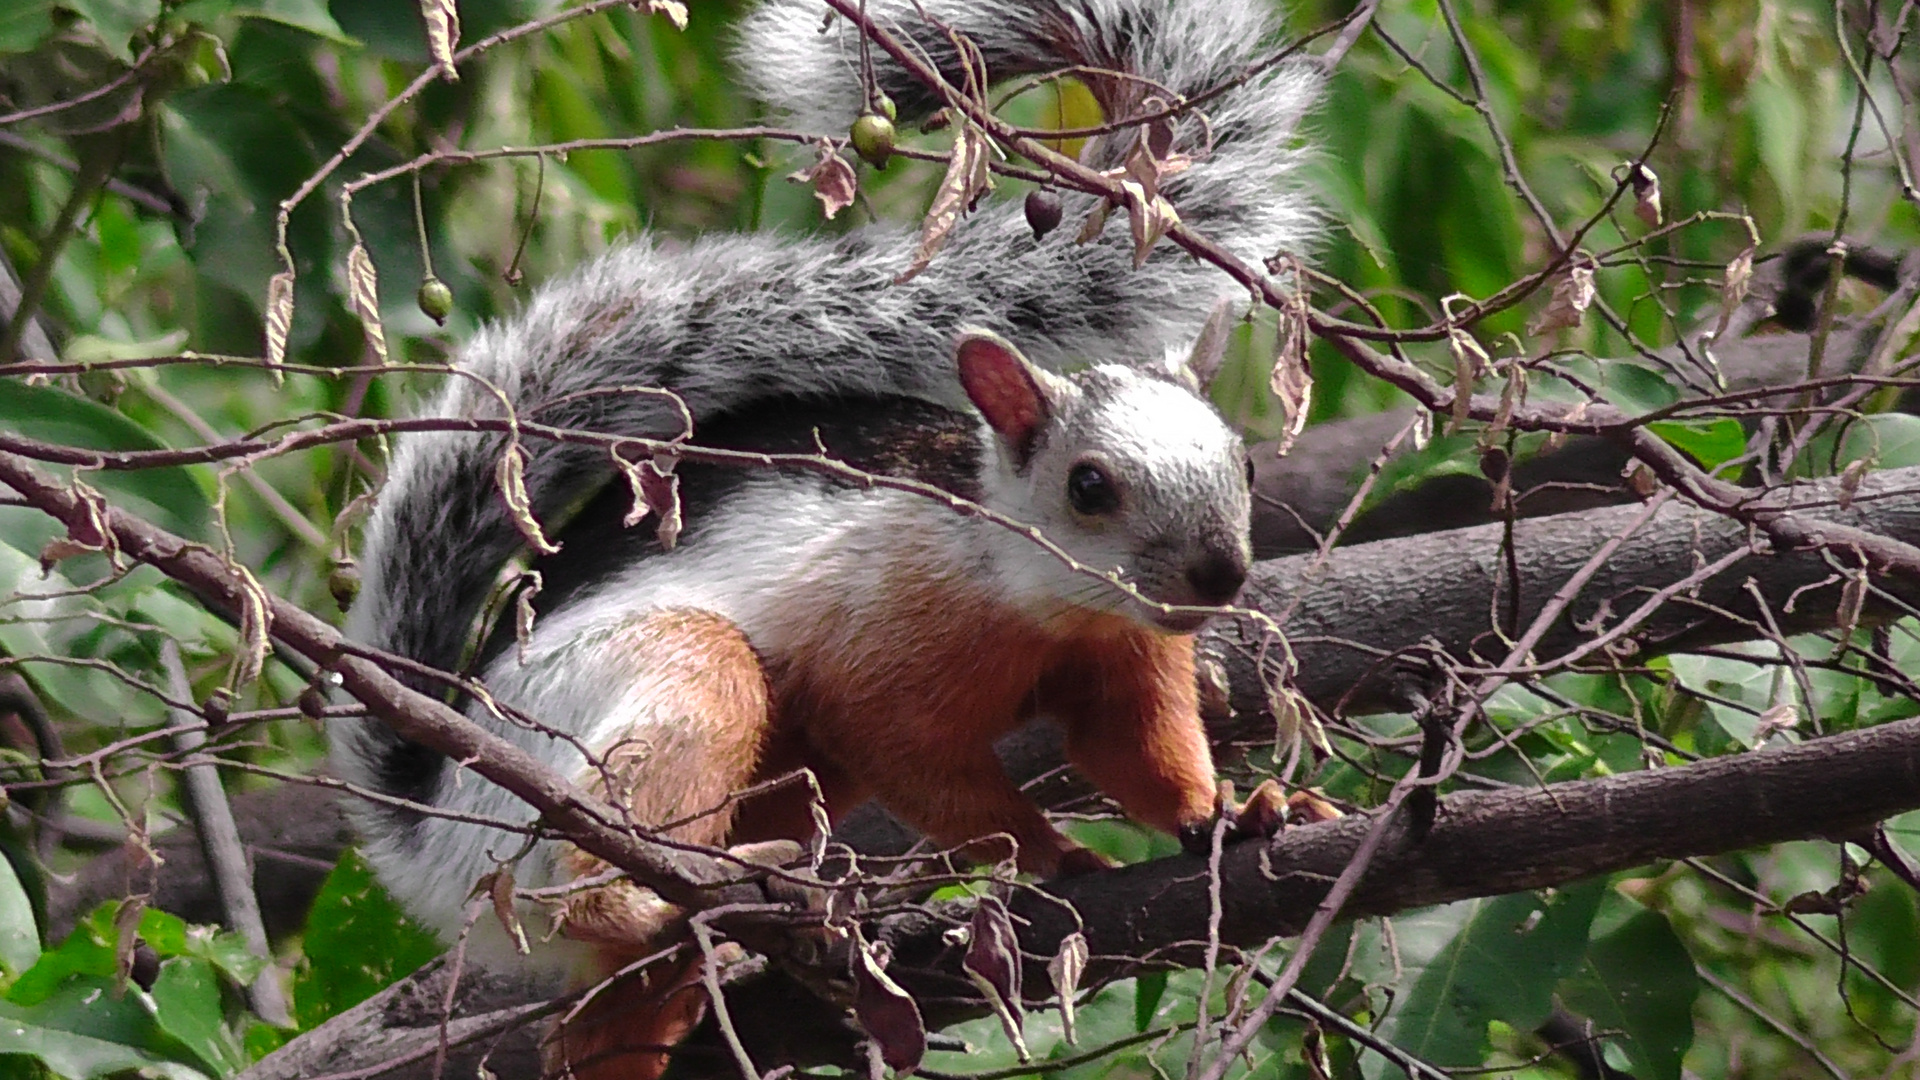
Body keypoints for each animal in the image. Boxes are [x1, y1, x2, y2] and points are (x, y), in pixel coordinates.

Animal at [334, 2, 1320, 1068]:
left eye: (1244, 464)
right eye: (1089, 486)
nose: (1219, 576)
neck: (1047, 602)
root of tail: (425, 837)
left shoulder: (1126, 658)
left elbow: (1140, 751)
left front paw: (1234, 813)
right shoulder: (881, 645)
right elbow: (926, 769)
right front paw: (1055, 853)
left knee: (601, 995)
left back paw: (662, 995)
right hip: (652, 706)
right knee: (580, 884)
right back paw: (712, 894)